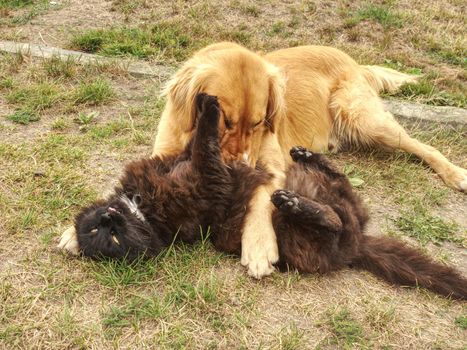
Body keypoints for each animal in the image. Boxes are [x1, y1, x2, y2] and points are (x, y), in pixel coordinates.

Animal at [59, 42, 467, 278]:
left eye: (257, 123)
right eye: (227, 121)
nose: (240, 162)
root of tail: (348, 57)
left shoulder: (268, 166)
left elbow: (260, 199)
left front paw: (258, 248)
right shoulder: (164, 155)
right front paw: (73, 232)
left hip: (363, 118)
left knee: (420, 146)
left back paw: (456, 173)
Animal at [75, 93, 467, 300]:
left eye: (97, 229)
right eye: (107, 238)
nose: (108, 218)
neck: (145, 210)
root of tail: (360, 244)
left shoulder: (186, 161)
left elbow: (197, 139)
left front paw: (204, 103)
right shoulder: (208, 178)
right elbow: (205, 144)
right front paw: (211, 109)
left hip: (340, 195)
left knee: (340, 182)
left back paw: (307, 157)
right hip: (310, 238)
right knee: (333, 223)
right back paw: (296, 204)